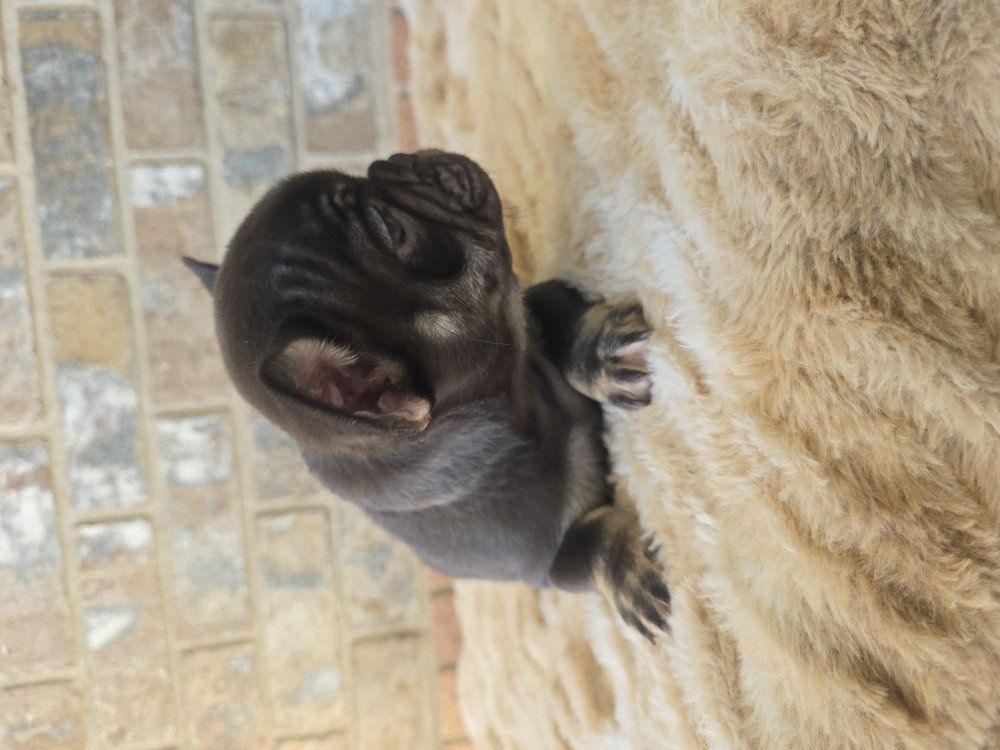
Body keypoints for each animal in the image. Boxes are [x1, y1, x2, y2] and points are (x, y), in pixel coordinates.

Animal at [184, 150, 670, 640]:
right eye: (394, 231)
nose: (395, 160)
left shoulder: (532, 307)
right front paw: (628, 571)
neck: (512, 400)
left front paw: (602, 353)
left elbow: (564, 328)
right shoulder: (545, 562)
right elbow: (592, 538)